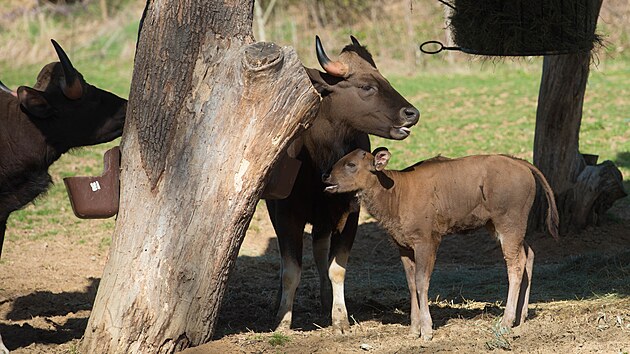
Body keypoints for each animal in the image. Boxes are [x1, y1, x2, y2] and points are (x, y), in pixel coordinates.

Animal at [324, 147, 560, 340]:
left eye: (351, 164)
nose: (326, 178)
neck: (396, 192)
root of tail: (522, 164)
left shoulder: (427, 242)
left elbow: (422, 282)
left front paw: (427, 330)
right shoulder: (403, 247)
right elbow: (411, 284)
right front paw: (414, 330)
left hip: (508, 223)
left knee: (515, 264)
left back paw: (506, 322)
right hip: (499, 226)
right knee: (529, 254)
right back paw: (521, 317)